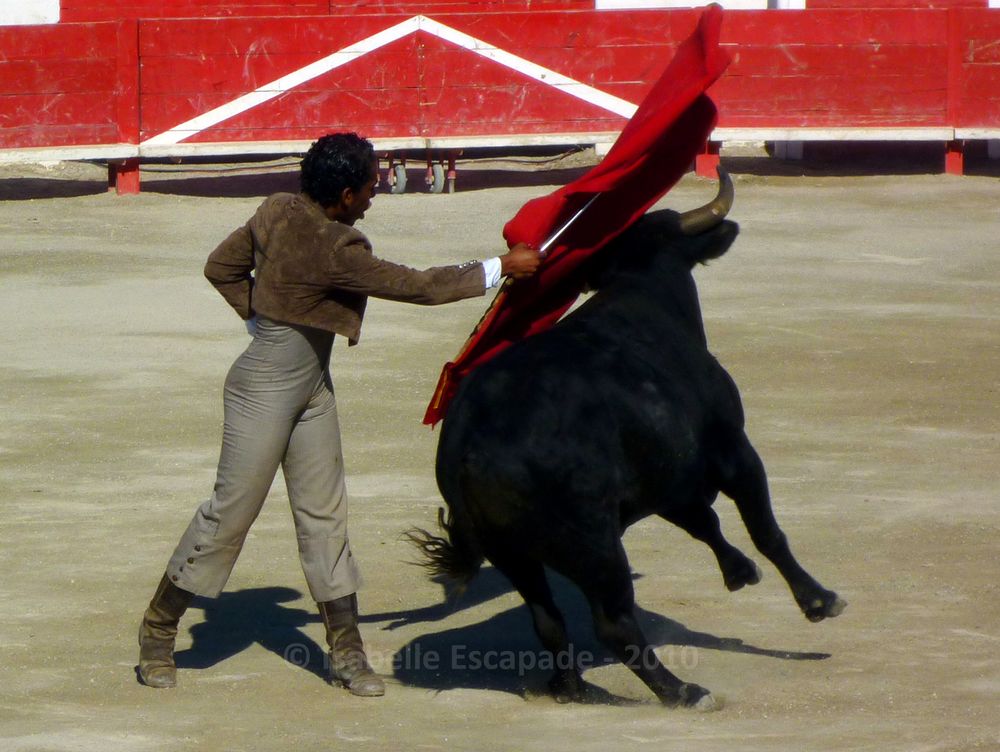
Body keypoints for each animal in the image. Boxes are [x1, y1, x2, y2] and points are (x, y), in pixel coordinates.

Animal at [406, 173, 844, 708]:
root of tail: (467, 452)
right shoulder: (733, 449)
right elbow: (766, 530)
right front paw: (819, 600)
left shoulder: (669, 479)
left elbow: (706, 522)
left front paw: (739, 571)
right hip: (596, 546)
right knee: (613, 622)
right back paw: (683, 691)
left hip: (513, 555)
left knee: (547, 620)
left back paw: (570, 688)